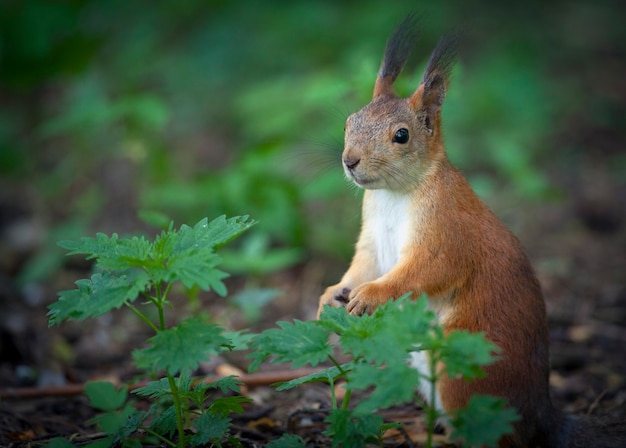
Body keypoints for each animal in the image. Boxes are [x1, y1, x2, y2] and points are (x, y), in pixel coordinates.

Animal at [320, 15, 620, 446]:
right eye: (349, 122)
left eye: (401, 135)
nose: (350, 161)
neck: (394, 194)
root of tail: (539, 415)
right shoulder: (372, 240)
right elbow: (363, 265)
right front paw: (333, 294)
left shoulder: (446, 232)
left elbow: (424, 271)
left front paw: (370, 296)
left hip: (460, 370)